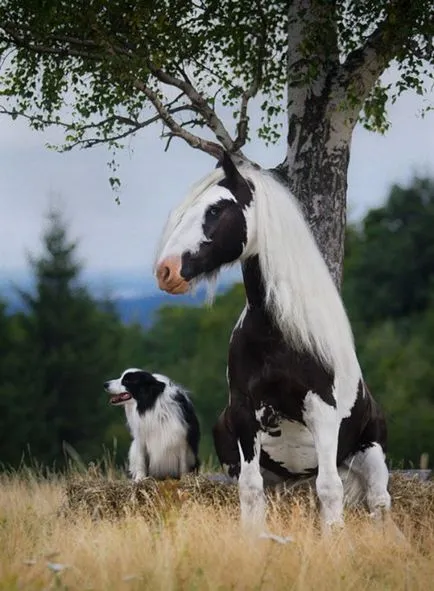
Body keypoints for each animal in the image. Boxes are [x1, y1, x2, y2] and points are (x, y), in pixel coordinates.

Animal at [154, 153, 392, 536]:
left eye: (216, 209)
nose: (166, 271)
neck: (277, 333)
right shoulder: (243, 412)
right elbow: (250, 490)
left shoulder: (322, 411)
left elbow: (330, 489)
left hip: (371, 454)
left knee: (378, 501)